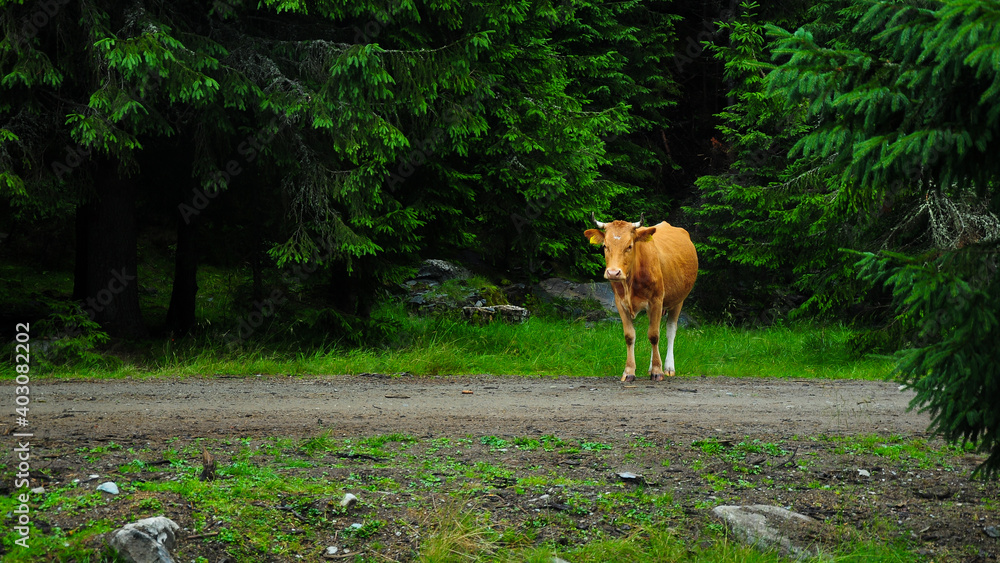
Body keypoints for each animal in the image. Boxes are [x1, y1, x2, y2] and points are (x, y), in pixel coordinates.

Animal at [584, 213, 698, 382]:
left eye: (629, 246)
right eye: (605, 246)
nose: (613, 273)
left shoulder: (656, 300)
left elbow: (654, 335)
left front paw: (658, 371)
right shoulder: (620, 302)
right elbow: (630, 336)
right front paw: (629, 371)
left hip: (679, 300)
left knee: (670, 330)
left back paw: (668, 367)